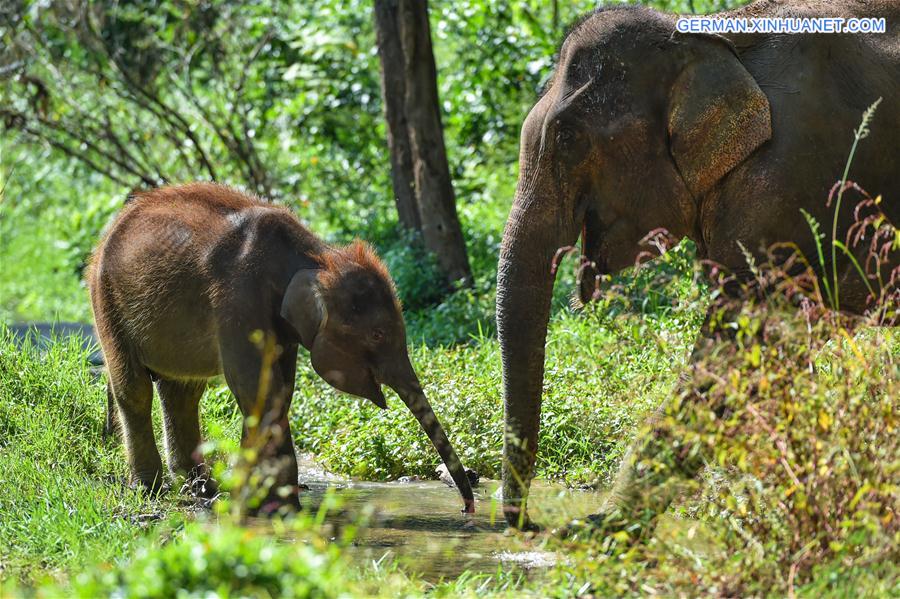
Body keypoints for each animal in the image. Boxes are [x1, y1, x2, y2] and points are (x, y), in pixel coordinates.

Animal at [88, 184, 474, 516]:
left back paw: (201, 489)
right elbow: (257, 387)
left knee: (182, 392)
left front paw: (264, 503)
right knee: (135, 388)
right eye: (378, 334)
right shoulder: (237, 299)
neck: (317, 254)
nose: (466, 508)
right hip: (105, 299)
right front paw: (272, 507)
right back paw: (151, 490)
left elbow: (280, 391)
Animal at [500, 2, 900, 528]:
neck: (710, 36)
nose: (528, 522)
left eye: (568, 138)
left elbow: (735, 352)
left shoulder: (786, 186)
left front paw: (598, 530)